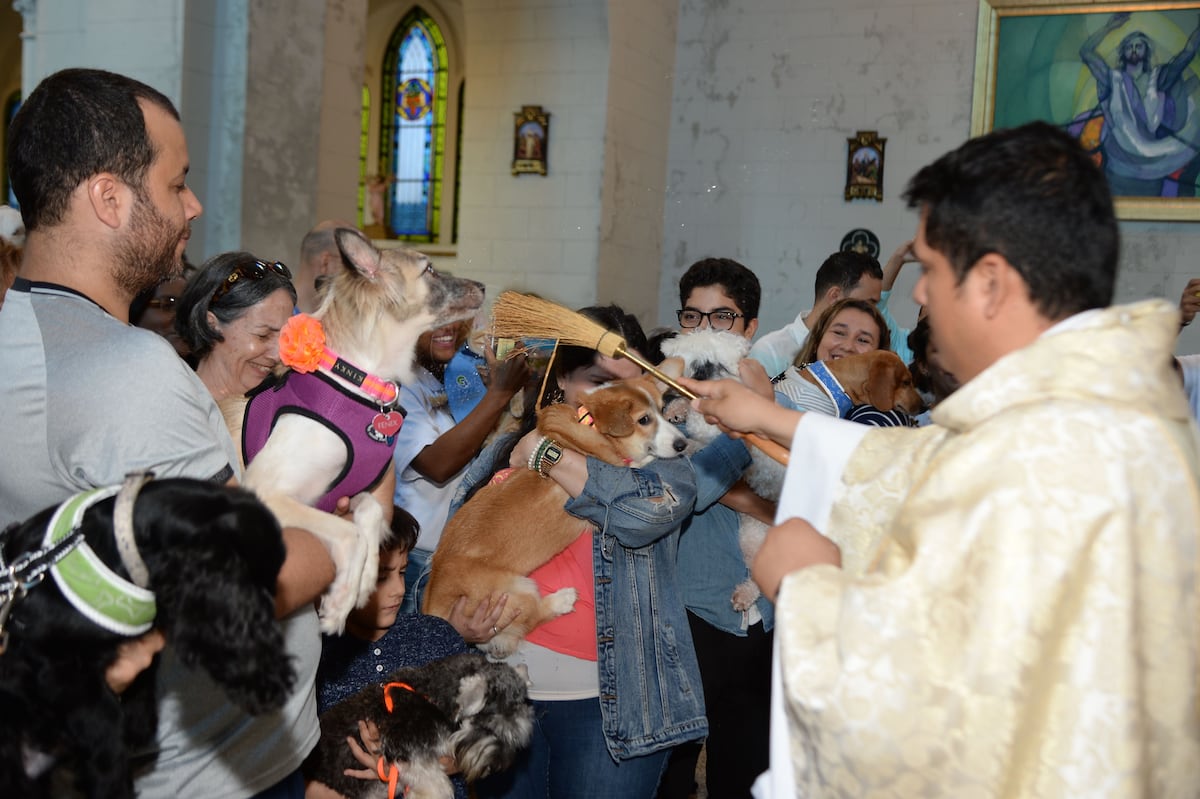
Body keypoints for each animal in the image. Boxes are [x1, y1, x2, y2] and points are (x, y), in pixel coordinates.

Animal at [223, 226, 484, 633]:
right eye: (429, 270)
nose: (484, 286)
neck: (358, 381)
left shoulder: (359, 491)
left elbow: (372, 520)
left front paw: (363, 581)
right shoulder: (267, 491)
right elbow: (349, 533)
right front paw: (341, 601)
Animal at [422, 364, 686, 652]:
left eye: (661, 410)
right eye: (644, 420)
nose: (682, 444)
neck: (592, 426)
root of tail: (434, 606)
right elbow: (633, 467)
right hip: (518, 591)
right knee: (533, 615)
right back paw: (562, 600)